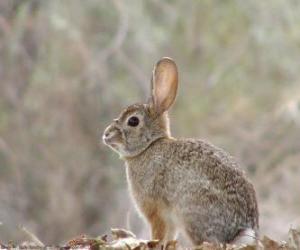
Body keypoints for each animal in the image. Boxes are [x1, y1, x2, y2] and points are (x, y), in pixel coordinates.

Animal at [102, 57, 258, 246]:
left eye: (133, 121)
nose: (106, 135)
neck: (149, 146)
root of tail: (238, 232)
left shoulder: (155, 211)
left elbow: (158, 234)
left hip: (191, 213)